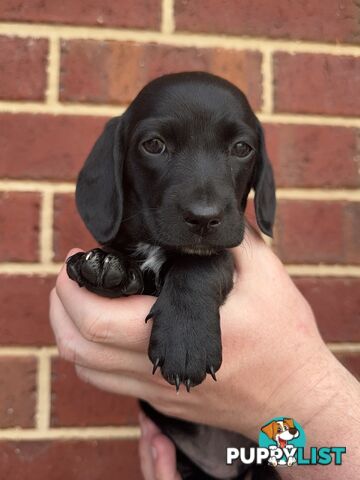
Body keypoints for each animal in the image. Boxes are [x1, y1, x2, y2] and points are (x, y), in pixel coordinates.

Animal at [67, 72, 276, 480]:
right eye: (153, 145)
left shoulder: (222, 251)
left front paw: (186, 341)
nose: (203, 218)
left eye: (242, 148)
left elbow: (202, 265)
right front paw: (104, 265)